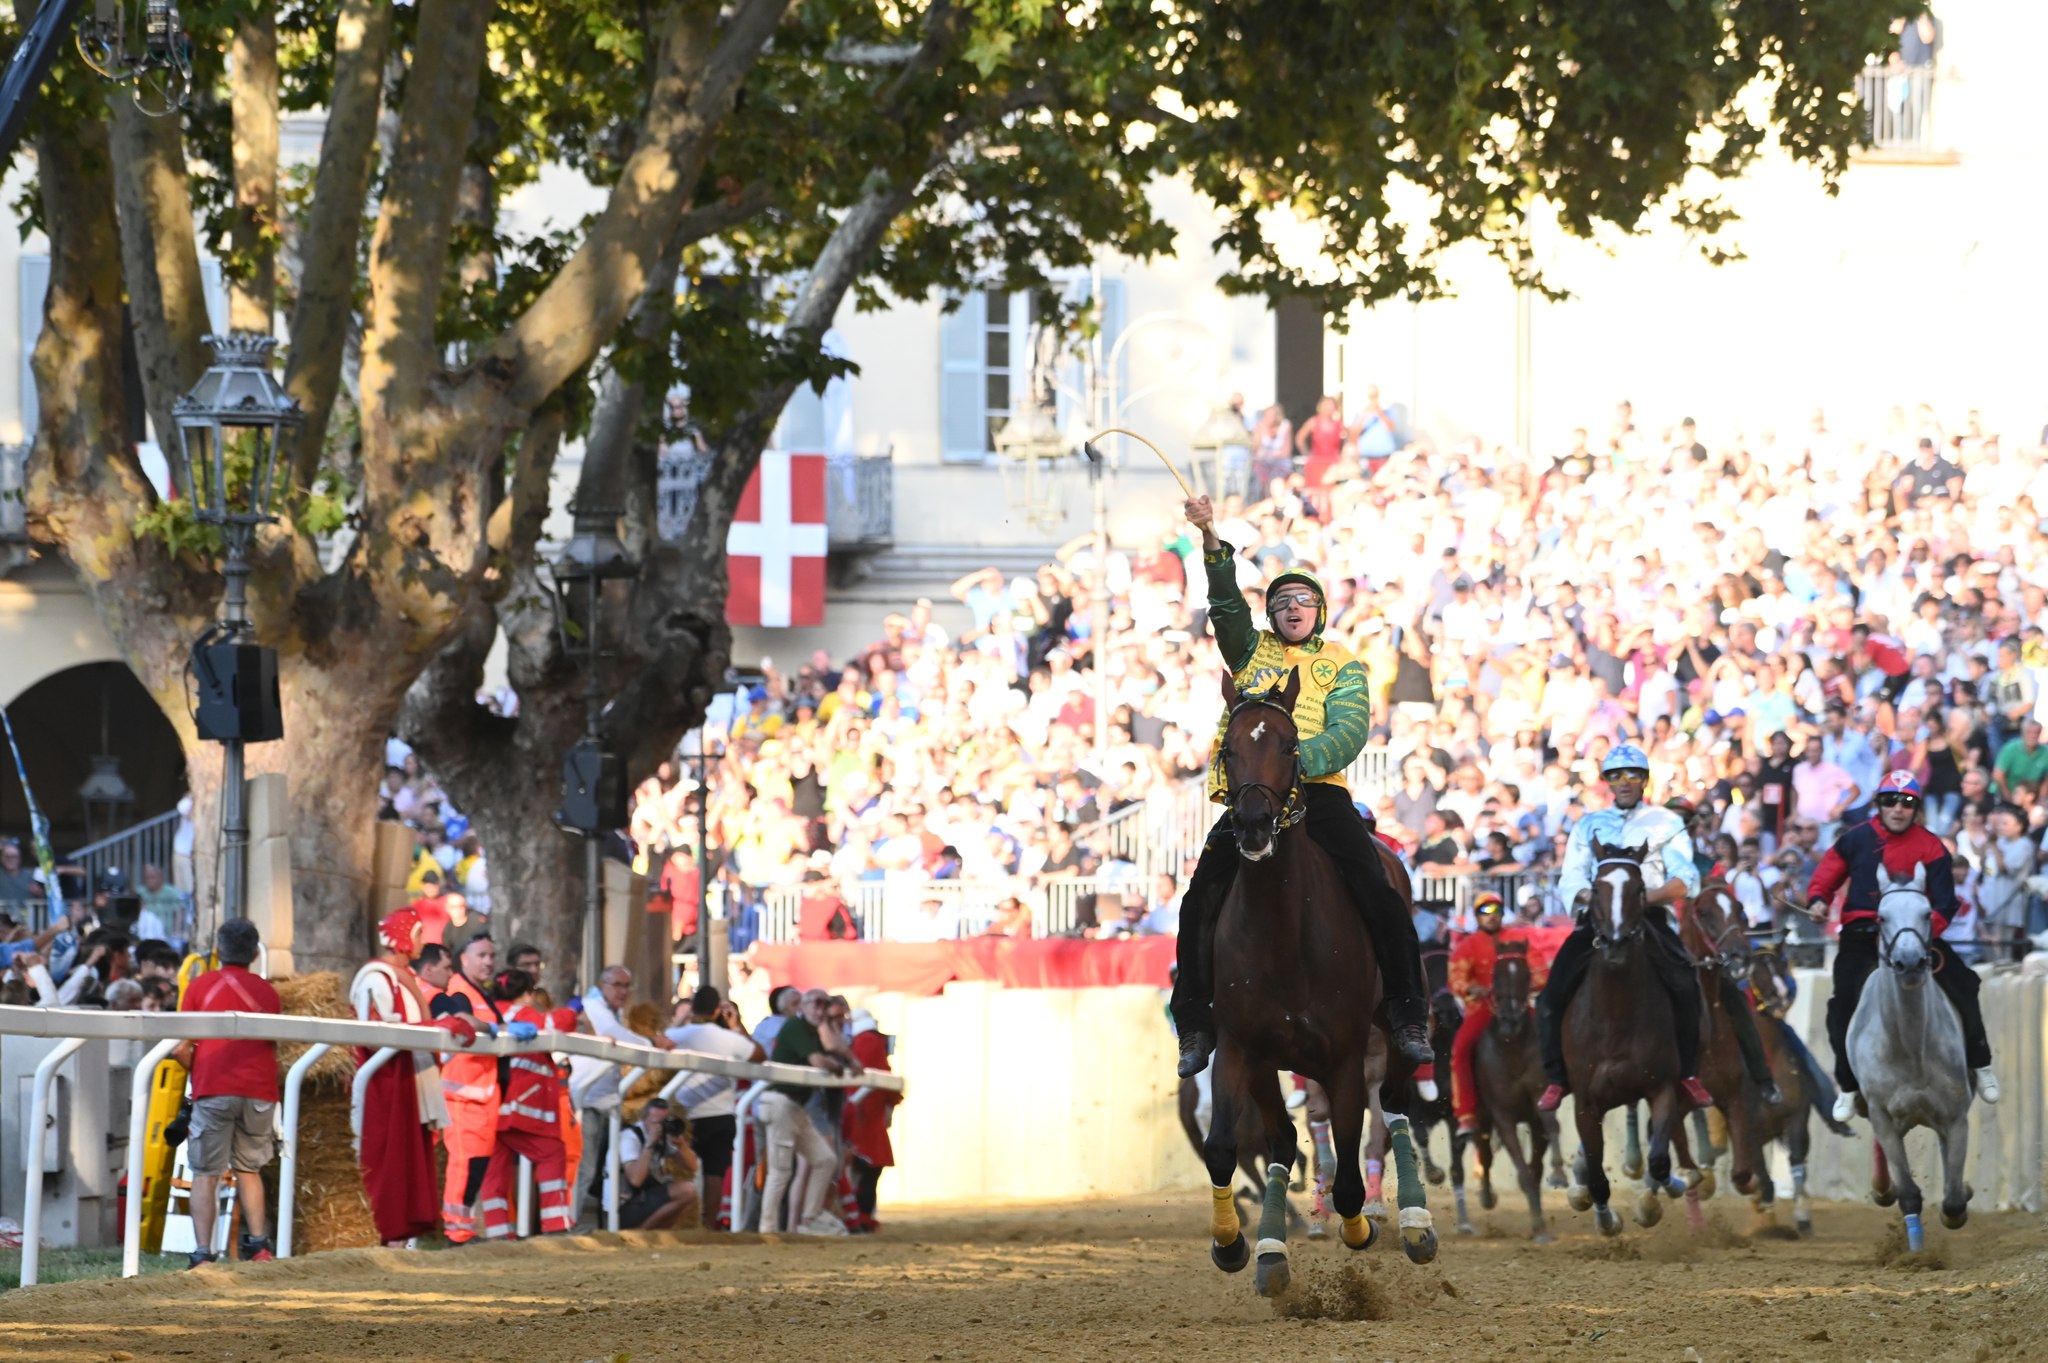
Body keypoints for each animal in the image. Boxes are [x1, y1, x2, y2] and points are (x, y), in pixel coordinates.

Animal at [1204, 667, 1433, 1293]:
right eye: (1228, 750)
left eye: (1289, 746)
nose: (1253, 825)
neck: (1283, 934)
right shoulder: (1242, 1048)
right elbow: (1223, 1148)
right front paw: (1235, 1243)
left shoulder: (1345, 1058)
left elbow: (1352, 1175)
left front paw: (1362, 1226)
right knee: (1284, 1139)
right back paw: (1271, 1250)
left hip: (1393, 1027)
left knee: (1397, 1105)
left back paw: (1416, 1222)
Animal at [1466, 941, 1556, 1236]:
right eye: (1495, 975)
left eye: (1526, 975)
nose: (1510, 1021)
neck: (1512, 1048)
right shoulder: (1502, 1116)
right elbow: (1523, 1169)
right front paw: (1538, 1225)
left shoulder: (1539, 1103)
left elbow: (1537, 1162)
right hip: (1481, 1114)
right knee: (1484, 1153)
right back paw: (1487, 1196)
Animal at [1564, 839, 1695, 1227]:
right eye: (1595, 888)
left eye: (1639, 889)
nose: (1615, 944)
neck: (1614, 1020)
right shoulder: (1585, 1102)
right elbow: (1596, 1174)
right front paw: (1607, 1221)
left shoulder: (1662, 1087)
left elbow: (1659, 1159)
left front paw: (1652, 1202)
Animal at [1843, 863, 1966, 1244]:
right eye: (1880, 917)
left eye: (1927, 913)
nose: (1909, 962)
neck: (1911, 1049)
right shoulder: (1883, 1114)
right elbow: (1909, 1193)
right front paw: (1917, 1249)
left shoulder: (1956, 1113)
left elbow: (1953, 1200)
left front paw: (1957, 1205)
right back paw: (1883, 1188)